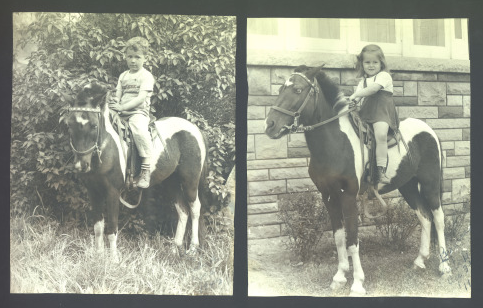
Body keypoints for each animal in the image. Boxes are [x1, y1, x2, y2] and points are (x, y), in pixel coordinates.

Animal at [65, 82, 207, 260]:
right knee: (183, 211)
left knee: (195, 209)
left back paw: (193, 249)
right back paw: (175, 249)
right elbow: (98, 227)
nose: (81, 166)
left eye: (94, 125)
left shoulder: (112, 192)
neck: (107, 149)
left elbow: (112, 229)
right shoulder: (93, 191)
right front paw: (98, 256)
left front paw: (114, 260)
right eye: (69, 125)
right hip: (171, 182)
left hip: (190, 182)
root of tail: (195, 129)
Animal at [264, 65, 450, 296]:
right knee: (424, 216)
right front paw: (339, 277)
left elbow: (352, 239)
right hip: (407, 186)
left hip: (430, 184)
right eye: (281, 88)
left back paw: (444, 266)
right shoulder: (328, 196)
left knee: (438, 218)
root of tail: (430, 130)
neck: (335, 144)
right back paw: (419, 261)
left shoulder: (348, 196)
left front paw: (358, 283)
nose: (270, 125)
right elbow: (339, 237)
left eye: (298, 90)